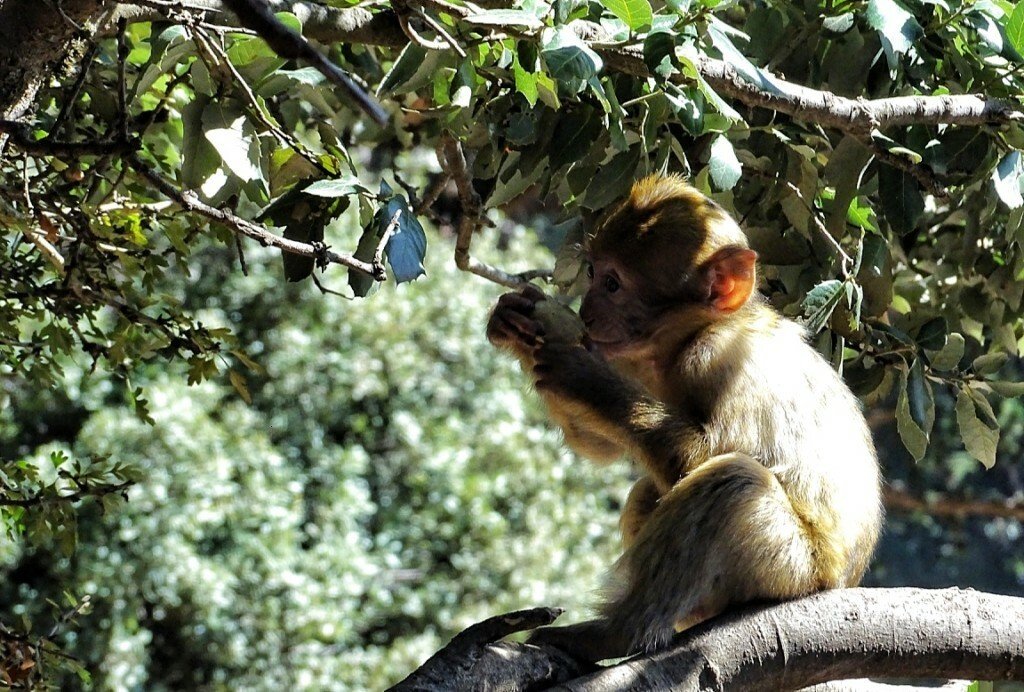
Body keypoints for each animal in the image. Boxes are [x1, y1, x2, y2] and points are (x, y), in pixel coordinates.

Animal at [486, 174, 882, 663]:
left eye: (613, 284)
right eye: (593, 273)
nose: (586, 311)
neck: (691, 335)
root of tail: (840, 582)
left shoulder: (719, 360)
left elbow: (699, 460)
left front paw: (582, 374)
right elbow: (604, 448)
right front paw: (518, 322)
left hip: (791, 569)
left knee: (731, 483)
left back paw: (618, 634)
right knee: (651, 490)